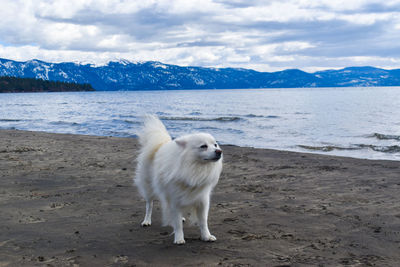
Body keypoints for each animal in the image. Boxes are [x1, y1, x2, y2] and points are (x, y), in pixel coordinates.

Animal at [134, 115, 222, 245]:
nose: (219, 152)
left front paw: (206, 236)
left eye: (215, 145)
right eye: (203, 146)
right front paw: (179, 238)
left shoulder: (202, 200)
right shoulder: (174, 200)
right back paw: (146, 221)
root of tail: (159, 145)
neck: (194, 169)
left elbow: (203, 221)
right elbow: (177, 223)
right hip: (148, 188)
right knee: (149, 205)